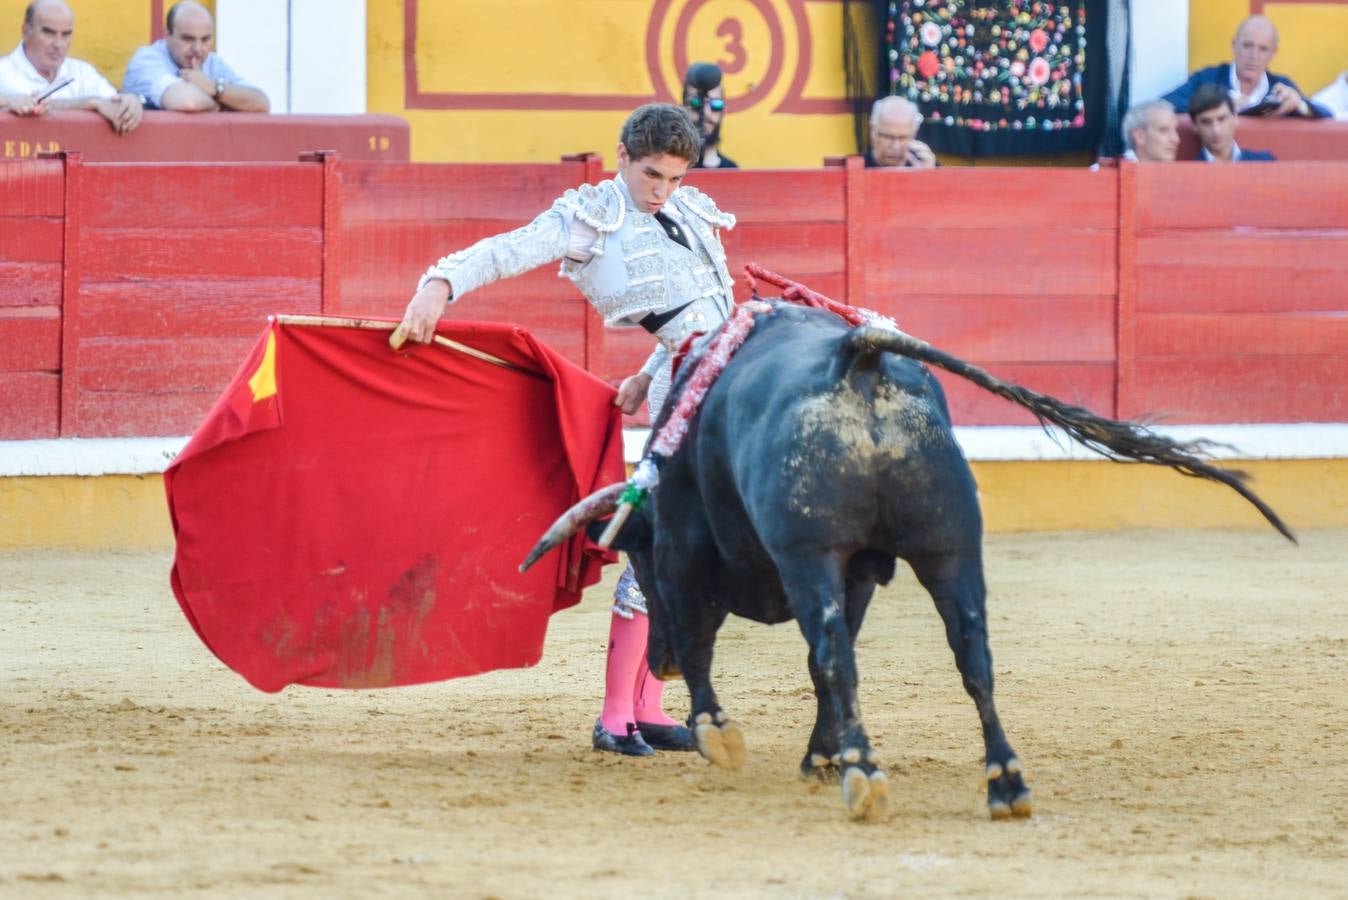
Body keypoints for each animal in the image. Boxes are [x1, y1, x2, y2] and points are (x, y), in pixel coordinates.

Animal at [520, 301, 1288, 824]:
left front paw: (723, 736)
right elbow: (825, 664)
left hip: (812, 555)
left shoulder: (690, 554)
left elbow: (724, 641)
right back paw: (1005, 783)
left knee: (835, 657)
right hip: (951, 547)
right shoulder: (861, 570)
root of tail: (857, 356)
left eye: (636, 548)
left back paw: (865, 776)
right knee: (972, 656)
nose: (662, 664)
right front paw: (818, 757)